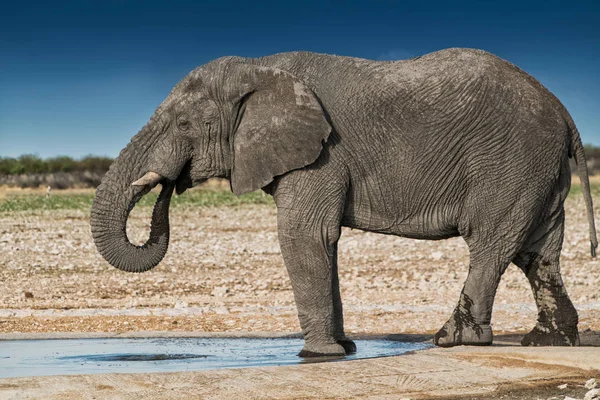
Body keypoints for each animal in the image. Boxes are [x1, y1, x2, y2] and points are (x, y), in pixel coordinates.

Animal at [91, 47, 596, 356]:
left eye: (183, 126)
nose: (171, 183)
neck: (261, 68)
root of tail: (564, 111)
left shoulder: (322, 154)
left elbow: (304, 236)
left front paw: (316, 355)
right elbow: (322, 240)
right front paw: (344, 350)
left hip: (510, 160)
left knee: (492, 244)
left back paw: (453, 340)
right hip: (538, 168)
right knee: (538, 253)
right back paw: (547, 342)